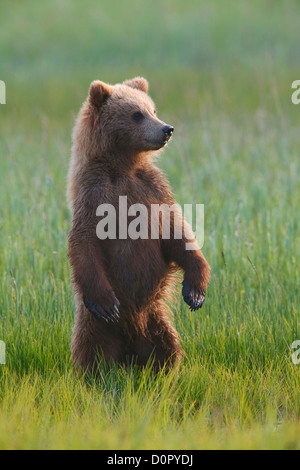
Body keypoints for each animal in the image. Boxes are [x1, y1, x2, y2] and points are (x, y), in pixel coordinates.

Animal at [67, 76, 210, 370]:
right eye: (136, 114)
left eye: (153, 109)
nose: (167, 129)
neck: (123, 166)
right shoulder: (95, 192)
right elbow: (84, 240)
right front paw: (107, 305)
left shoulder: (152, 188)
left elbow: (176, 231)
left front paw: (195, 292)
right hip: (94, 325)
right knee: (91, 351)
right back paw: (98, 372)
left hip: (155, 317)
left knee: (167, 347)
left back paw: (161, 369)